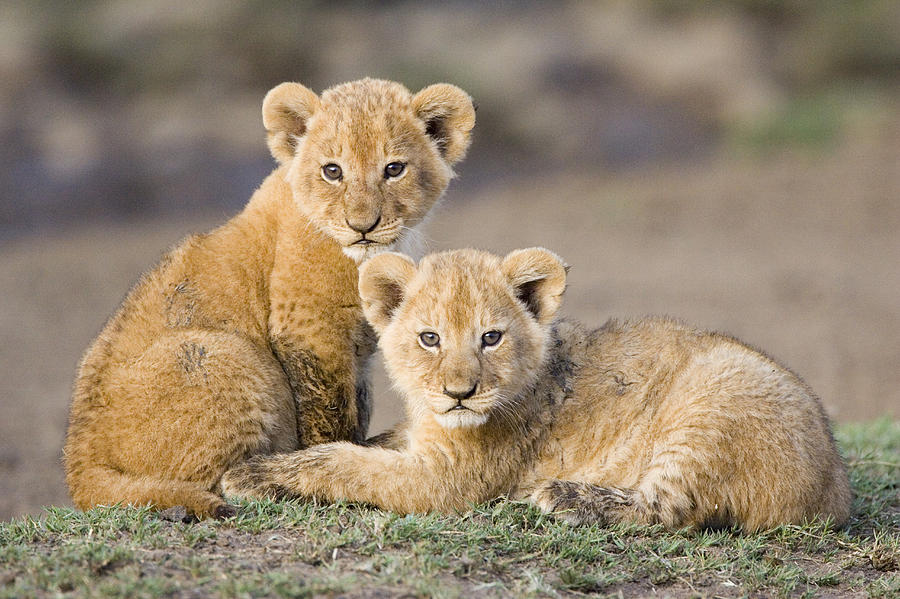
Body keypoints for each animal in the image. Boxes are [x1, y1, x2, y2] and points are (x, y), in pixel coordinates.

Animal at [63, 78, 476, 519]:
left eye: (394, 169)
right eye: (333, 171)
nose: (363, 227)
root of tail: (79, 466)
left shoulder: (360, 349)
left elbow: (359, 404)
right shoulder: (309, 326)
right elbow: (328, 410)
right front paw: (326, 460)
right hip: (223, 353)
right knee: (209, 481)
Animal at [222, 248, 852, 531]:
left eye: (491, 337)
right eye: (429, 338)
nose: (459, 393)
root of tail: (835, 491)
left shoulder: (447, 481)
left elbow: (344, 464)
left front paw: (251, 475)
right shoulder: (419, 439)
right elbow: (368, 445)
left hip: (711, 406)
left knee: (668, 510)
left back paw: (557, 496)